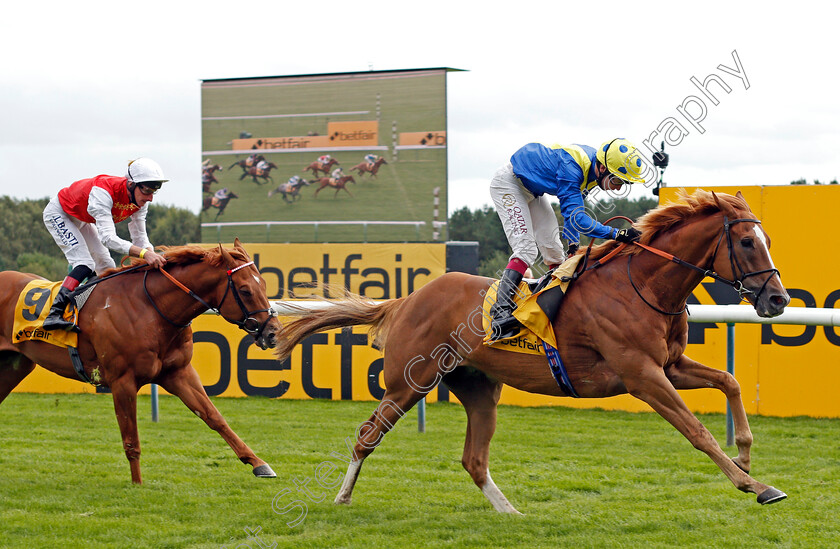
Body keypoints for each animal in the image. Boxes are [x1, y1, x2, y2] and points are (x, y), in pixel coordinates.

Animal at [0, 238, 282, 482]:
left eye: (263, 285)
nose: (273, 333)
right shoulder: (122, 381)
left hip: (15, 366)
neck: (150, 308)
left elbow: (214, 416)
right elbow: (131, 440)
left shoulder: (179, 373)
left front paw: (258, 463)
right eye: (245, 290)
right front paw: (137, 484)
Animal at [278, 191, 796, 512]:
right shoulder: (642, 375)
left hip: (479, 390)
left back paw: (510, 512)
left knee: (473, 459)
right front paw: (755, 485)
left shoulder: (670, 365)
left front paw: (745, 454)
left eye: (768, 240)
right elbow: (697, 432)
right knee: (367, 435)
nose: (777, 301)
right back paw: (342, 497)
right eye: (747, 242)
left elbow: (729, 381)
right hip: (409, 382)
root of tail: (407, 299)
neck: (642, 285)